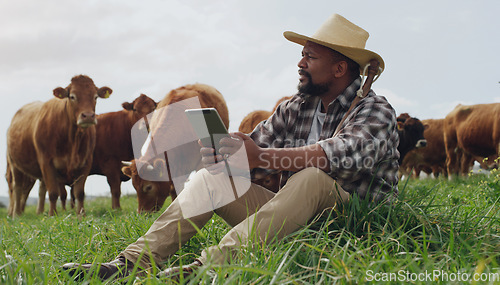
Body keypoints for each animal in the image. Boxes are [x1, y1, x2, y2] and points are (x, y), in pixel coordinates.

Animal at [6, 74, 111, 216]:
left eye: (95, 97)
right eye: (72, 96)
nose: (88, 116)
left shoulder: (85, 162)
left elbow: (79, 193)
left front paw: (81, 215)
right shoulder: (46, 162)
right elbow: (53, 193)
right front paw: (52, 215)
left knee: (41, 189)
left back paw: (39, 212)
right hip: (15, 164)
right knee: (17, 188)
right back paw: (16, 214)